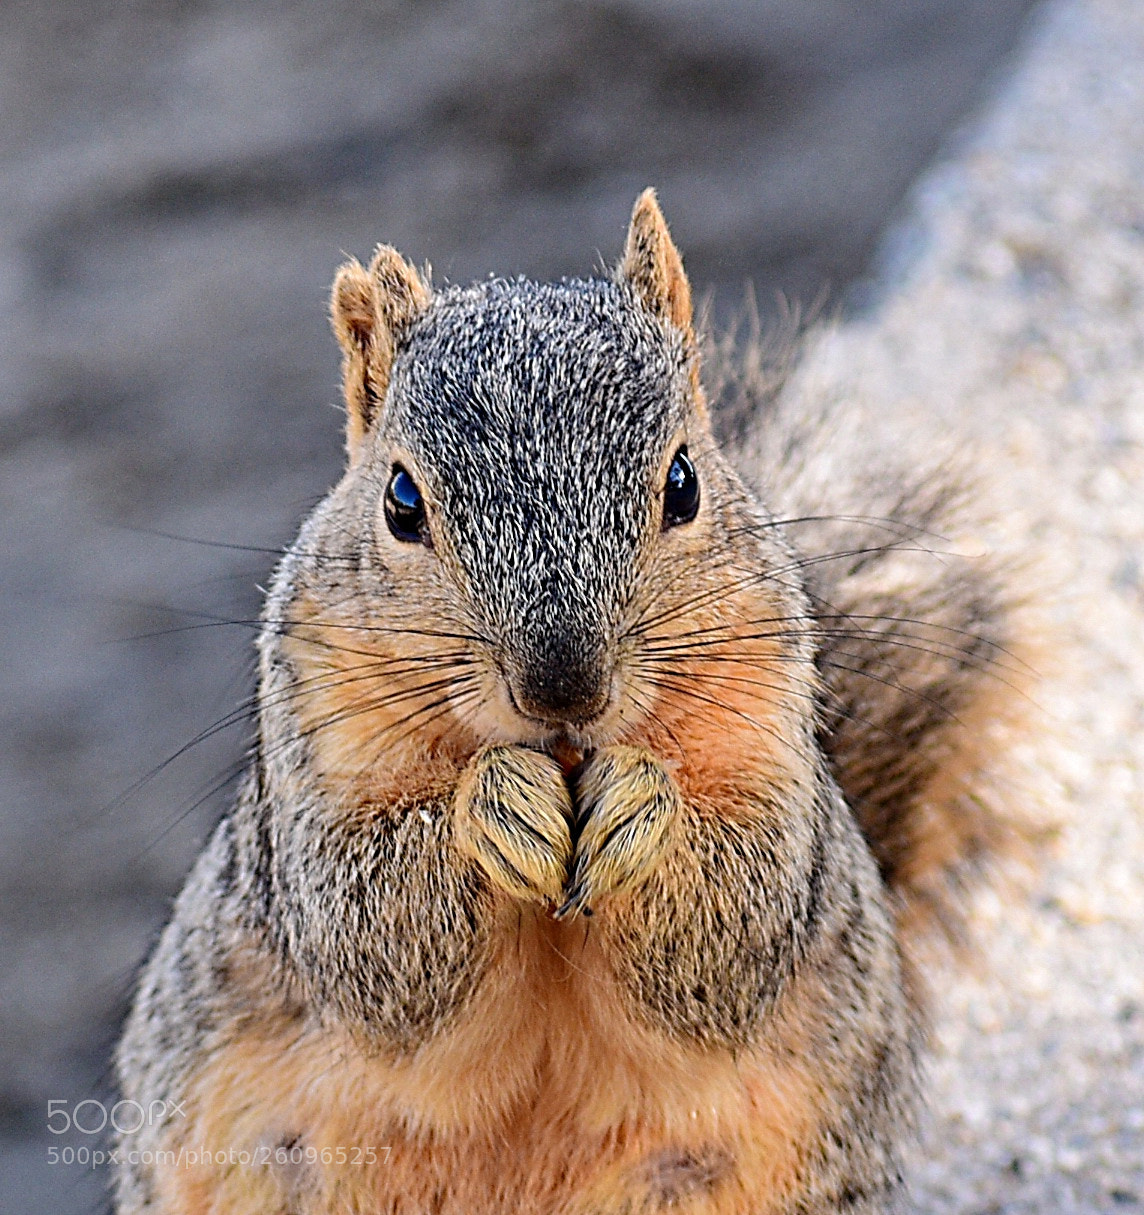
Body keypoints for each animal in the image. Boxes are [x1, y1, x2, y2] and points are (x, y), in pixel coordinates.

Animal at [114, 190, 1031, 1214]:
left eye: (684, 482)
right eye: (400, 502)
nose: (563, 686)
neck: (561, 759)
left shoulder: (774, 747)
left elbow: (737, 927)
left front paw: (639, 809)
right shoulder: (310, 764)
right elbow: (371, 935)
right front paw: (497, 807)